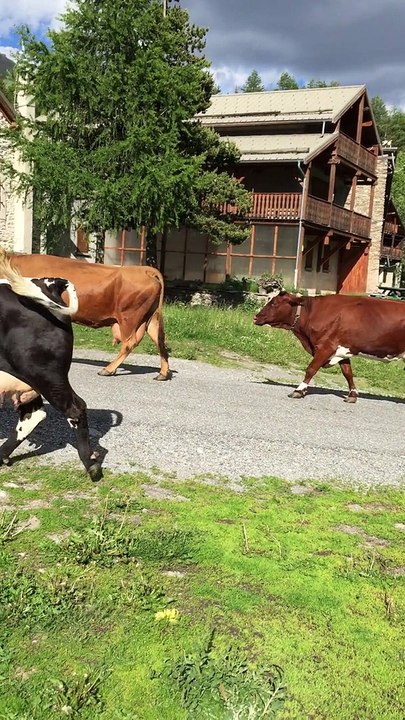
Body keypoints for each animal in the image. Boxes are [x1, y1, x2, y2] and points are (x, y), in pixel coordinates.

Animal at [7, 254, 171, 380]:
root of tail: (144, 270)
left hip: (129, 317)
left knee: (130, 343)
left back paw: (108, 369)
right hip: (151, 317)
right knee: (159, 341)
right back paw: (163, 373)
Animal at [254, 279, 405, 403]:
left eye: (274, 303)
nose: (255, 317)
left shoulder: (326, 347)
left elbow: (311, 369)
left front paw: (298, 390)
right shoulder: (342, 348)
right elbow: (347, 373)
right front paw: (352, 395)